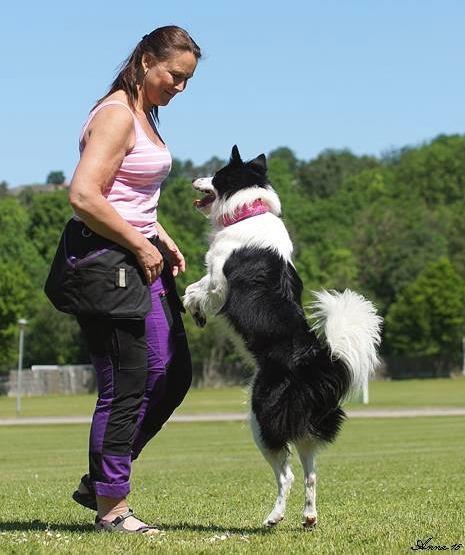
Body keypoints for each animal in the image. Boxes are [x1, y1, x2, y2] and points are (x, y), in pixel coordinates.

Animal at [181, 147, 380, 528]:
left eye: (215, 173)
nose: (193, 178)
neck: (249, 209)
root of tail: (321, 361)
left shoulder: (218, 280)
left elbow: (196, 288)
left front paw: (193, 308)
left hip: (261, 418)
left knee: (286, 475)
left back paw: (273, 517)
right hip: (305, 427)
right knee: (310, 474)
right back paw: (308, 517)